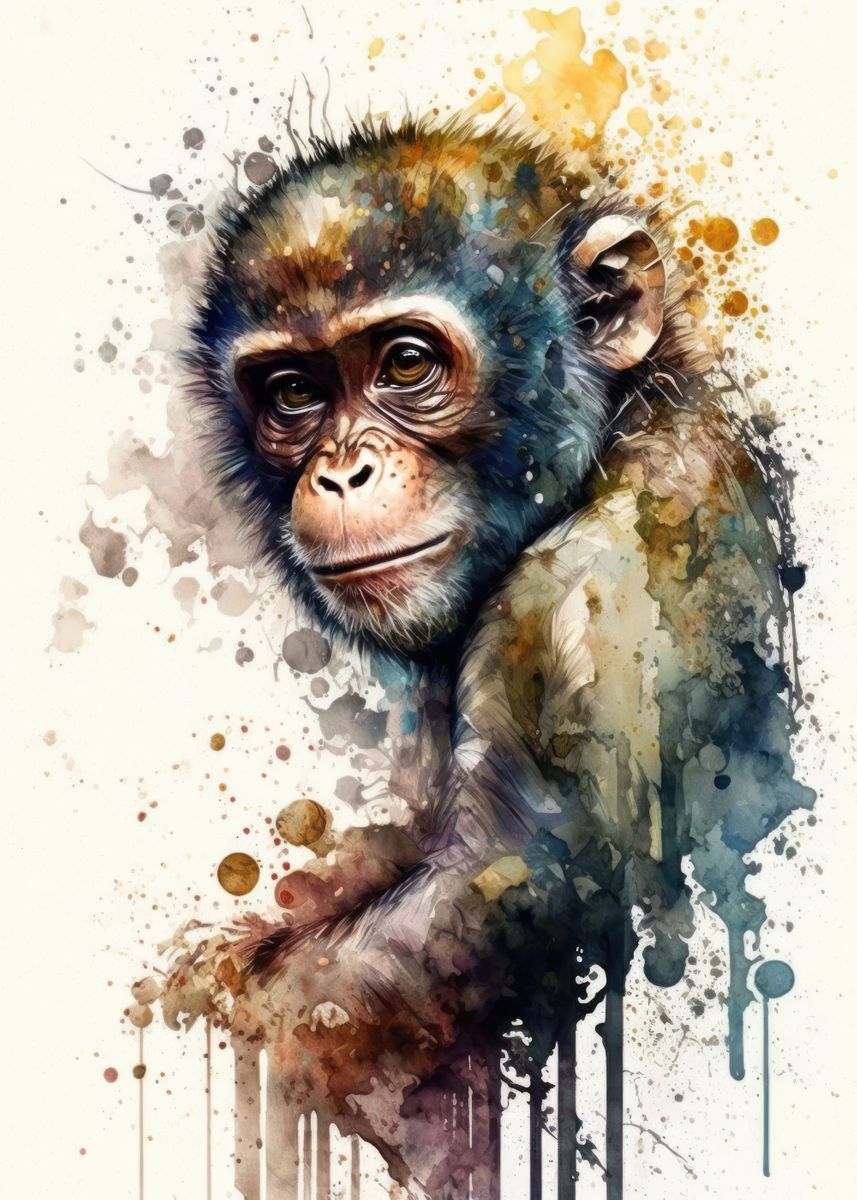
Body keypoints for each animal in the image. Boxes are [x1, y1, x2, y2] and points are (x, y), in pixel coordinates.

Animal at [168, 117, 812, 1197]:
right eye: (293, 393)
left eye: (404, 365)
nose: (342, 470)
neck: (618, 435)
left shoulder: (578, 613)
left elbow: (511, 889)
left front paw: (216, 1001)